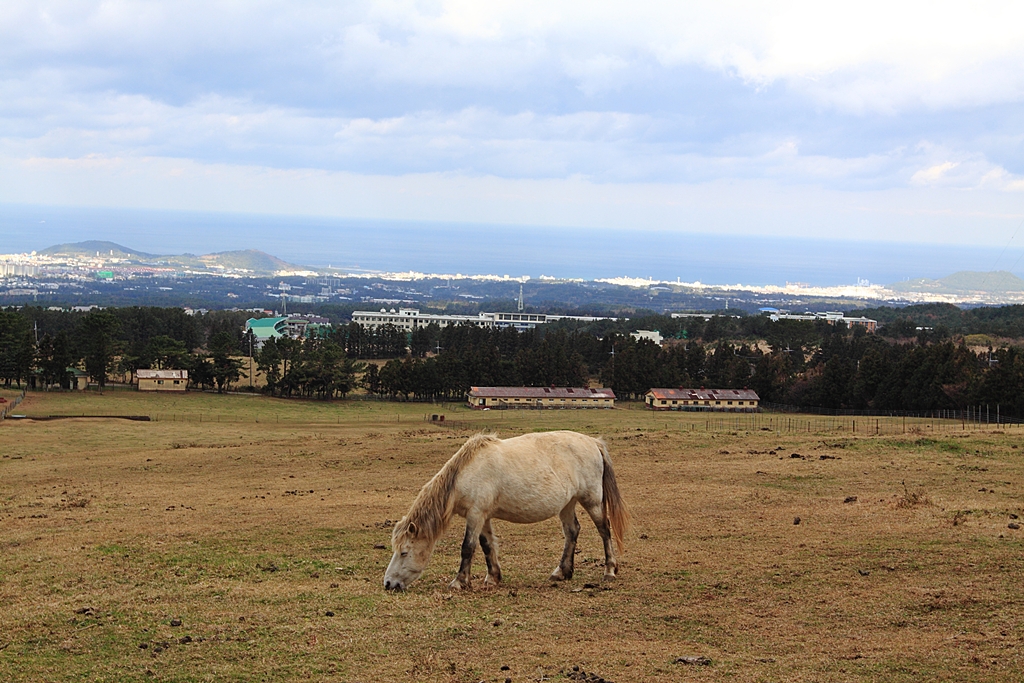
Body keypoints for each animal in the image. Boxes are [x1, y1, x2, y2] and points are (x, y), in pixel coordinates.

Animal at [382, 432, 626, 593]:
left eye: (404, 552)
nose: (388, 583)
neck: (465, 473)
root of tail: (593, 442)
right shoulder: (483, 516)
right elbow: (486, 545)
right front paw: (493, 578)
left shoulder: (476, 514)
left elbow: (467, 547)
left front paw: (459, 582)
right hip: (568, 503)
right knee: (572, 531)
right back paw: (561, 572)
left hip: (591, 500)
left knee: (604, 530)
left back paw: (609, 571)